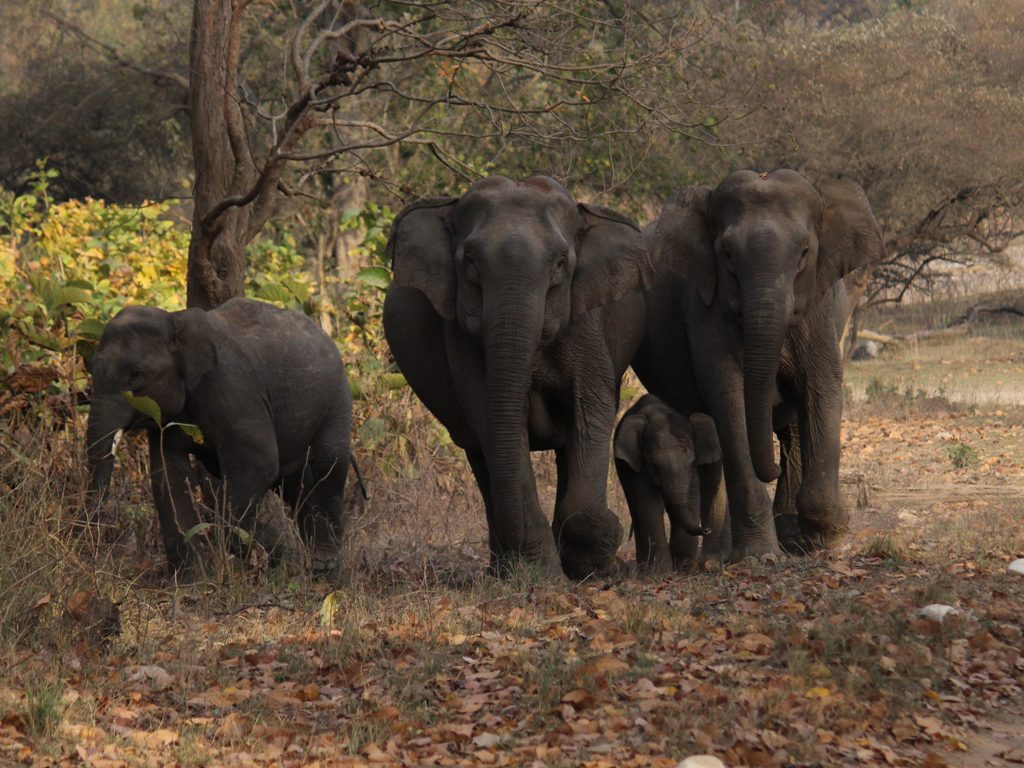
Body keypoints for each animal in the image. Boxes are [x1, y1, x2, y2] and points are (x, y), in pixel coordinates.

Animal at [85, 296, 352, 580]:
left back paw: (324, 569)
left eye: (136, 374)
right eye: (91, 368)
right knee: (298, 482)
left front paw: (249, 557)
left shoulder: (233, 390)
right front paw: (192, 580)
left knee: (328, 463)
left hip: (337, 397)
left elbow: (259, 462)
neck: (174, 320)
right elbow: (168, 475)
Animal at [382, 175, 653, 579]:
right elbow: (493, 420)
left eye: (560, 264)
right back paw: (506, 570)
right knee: (481, 455)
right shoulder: (460, 337)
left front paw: (597, 561)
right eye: (470, 262)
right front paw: (542, 573)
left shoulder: (585, 322)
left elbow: (592, 408)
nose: (622, 534)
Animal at [613, 394, 723, 572]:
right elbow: (650, 507)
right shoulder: (638, 468)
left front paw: (684, 568)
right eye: (654, 466)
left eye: (692, 462)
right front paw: (660, 571)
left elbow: (690, 502)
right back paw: (645, 567)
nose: (707, 529)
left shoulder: (691, 474)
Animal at [632, 169, 883, 559]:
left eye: (804, 252)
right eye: (727, 255)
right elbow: (730, 396)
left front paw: (828, 535)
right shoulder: (705, 307)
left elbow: (821, 385)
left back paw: (792, 536)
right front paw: (760, 556)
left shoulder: (822, 306)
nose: (772, 468)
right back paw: (725, 556)